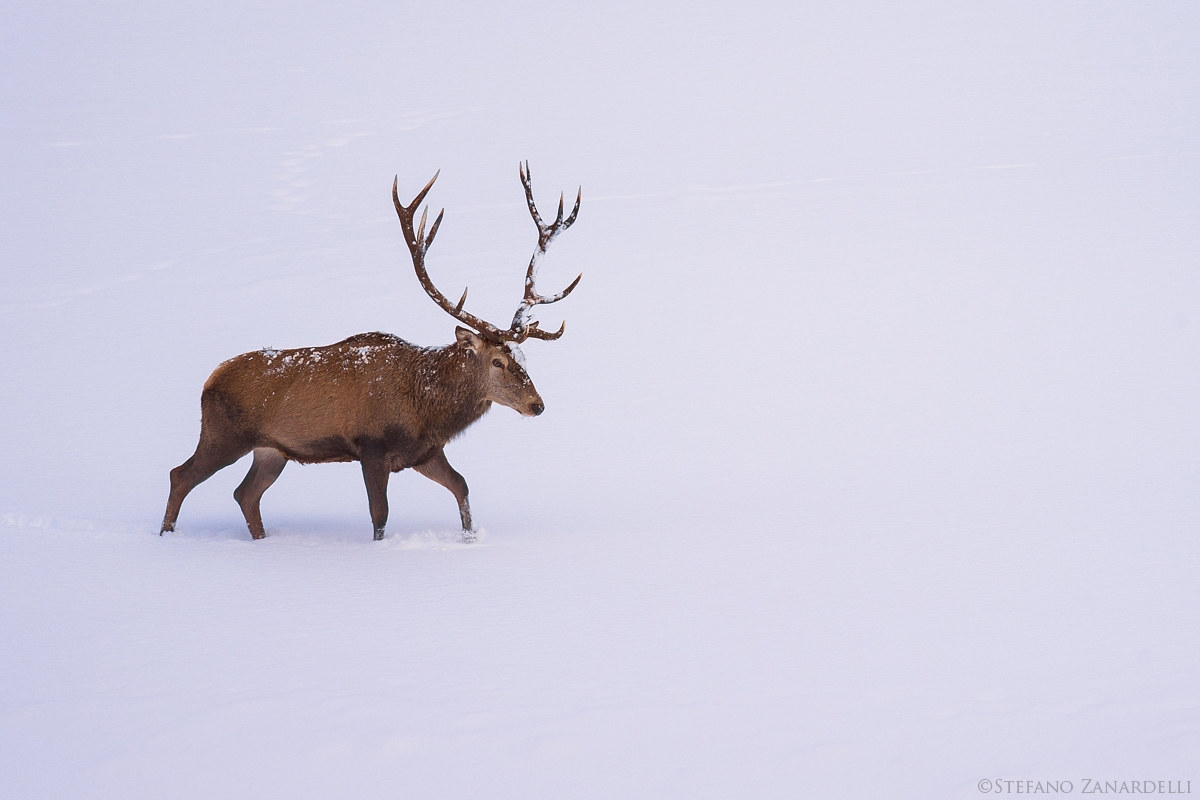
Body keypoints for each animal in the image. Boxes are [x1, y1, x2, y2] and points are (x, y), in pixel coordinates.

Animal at [159, 163, 582, 541]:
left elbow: (461, 485)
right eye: (498, 361)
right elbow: (380, 514)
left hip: (272, 450)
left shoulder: (423, 452)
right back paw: (166, 535)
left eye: (524, 359)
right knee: (181, 474)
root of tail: (209, 380)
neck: (426, 408)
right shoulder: (372, 446)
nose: (537, 404)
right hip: (223, 434)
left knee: (245, 493)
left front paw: (470, 537)